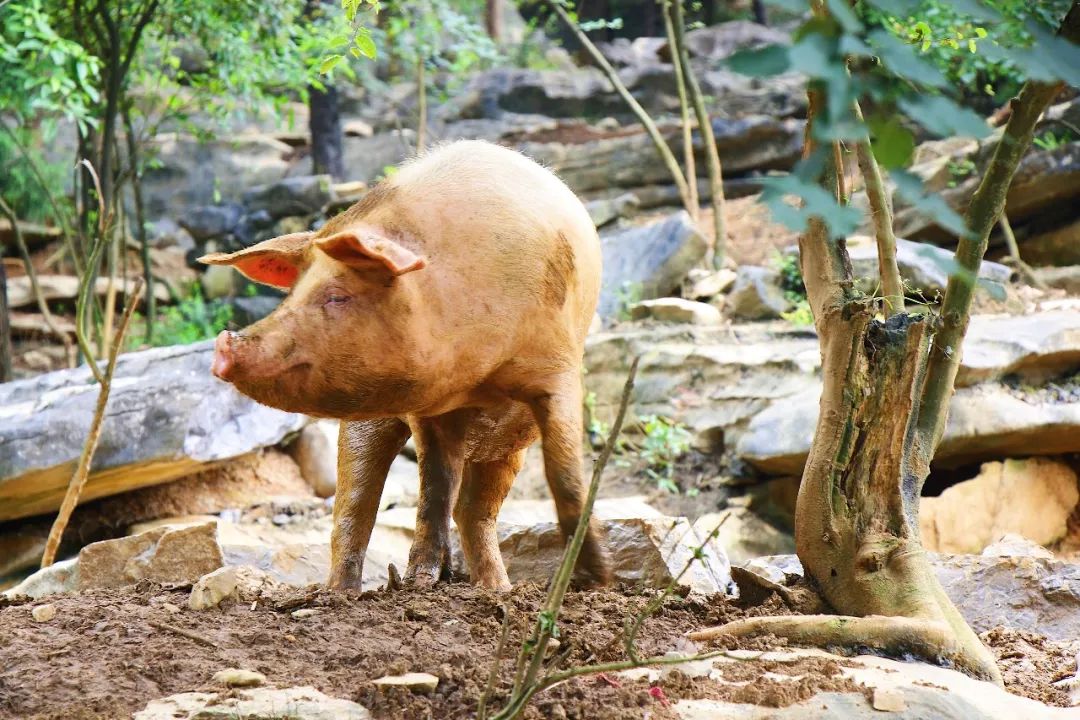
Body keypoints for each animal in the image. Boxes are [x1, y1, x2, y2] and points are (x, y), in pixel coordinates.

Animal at [200, 139, 609, 591]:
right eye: (291, 295)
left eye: (338, 296)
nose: (223, 345)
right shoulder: (430, 406)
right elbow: (435, 485)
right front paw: (420, 582)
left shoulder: (558, 368)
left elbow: (565, 475)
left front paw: (597, 577)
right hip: (368, 427)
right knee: (357, 506)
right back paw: (343, 592)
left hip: (509, 447)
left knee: (476, 512)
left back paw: (498, 589)